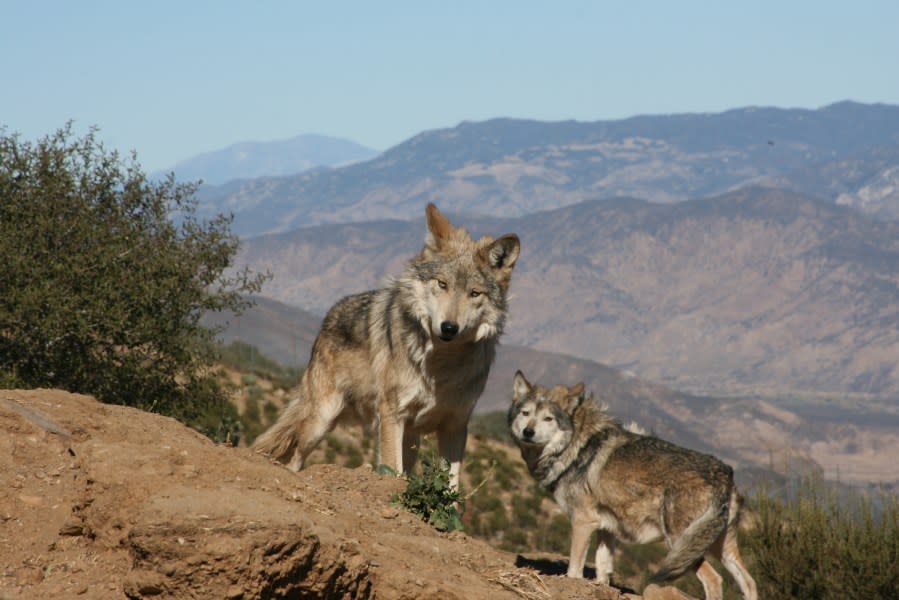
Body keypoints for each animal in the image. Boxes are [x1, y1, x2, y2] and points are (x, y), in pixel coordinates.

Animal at [253, 203, 520, 488]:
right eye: (442, 284)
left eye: (474, 293)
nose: (449, 327)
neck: (441, 366)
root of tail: (329, 317)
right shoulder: (392, 413)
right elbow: (393, 469)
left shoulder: (455, 425)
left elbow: (451, 486)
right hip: (322, 420)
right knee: (295, 459)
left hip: (410, 438)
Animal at [510, 370, 756, 600]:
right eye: (526, 413)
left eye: (548, 418)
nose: (528, 432)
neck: (577, 446)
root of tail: (724, 473)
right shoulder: (606, 528)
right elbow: (602, 570)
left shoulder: (583, 522)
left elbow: (574, 570)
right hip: (718, 547)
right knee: (749, 582)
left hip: (681, 543)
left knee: (714, 579)